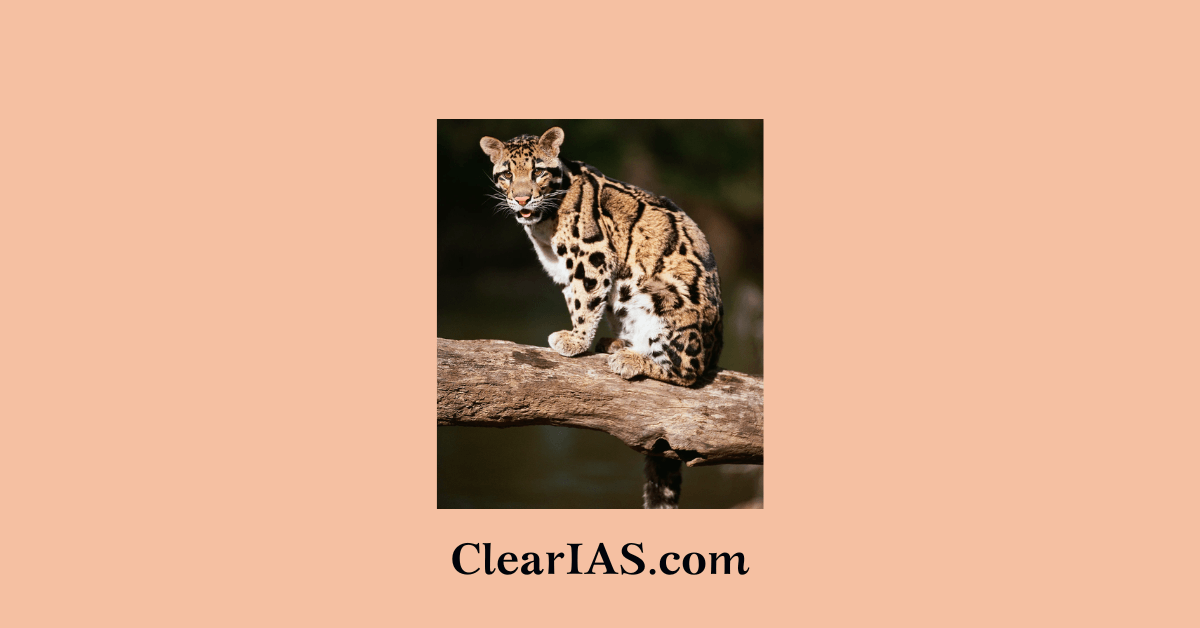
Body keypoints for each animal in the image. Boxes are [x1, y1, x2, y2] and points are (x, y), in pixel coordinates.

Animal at [479, 126, 724, 508]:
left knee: (689, 371)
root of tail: (717, 346)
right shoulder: (561, 267)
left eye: (537, 171)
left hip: (662, 299)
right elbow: (576, 298)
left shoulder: (591, 254)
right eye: (506, 174)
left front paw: (575, 341)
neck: (543, 225)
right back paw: (619, 343)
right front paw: (580, 338)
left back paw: (632, 359)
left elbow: (585, 299)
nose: (521, 200)